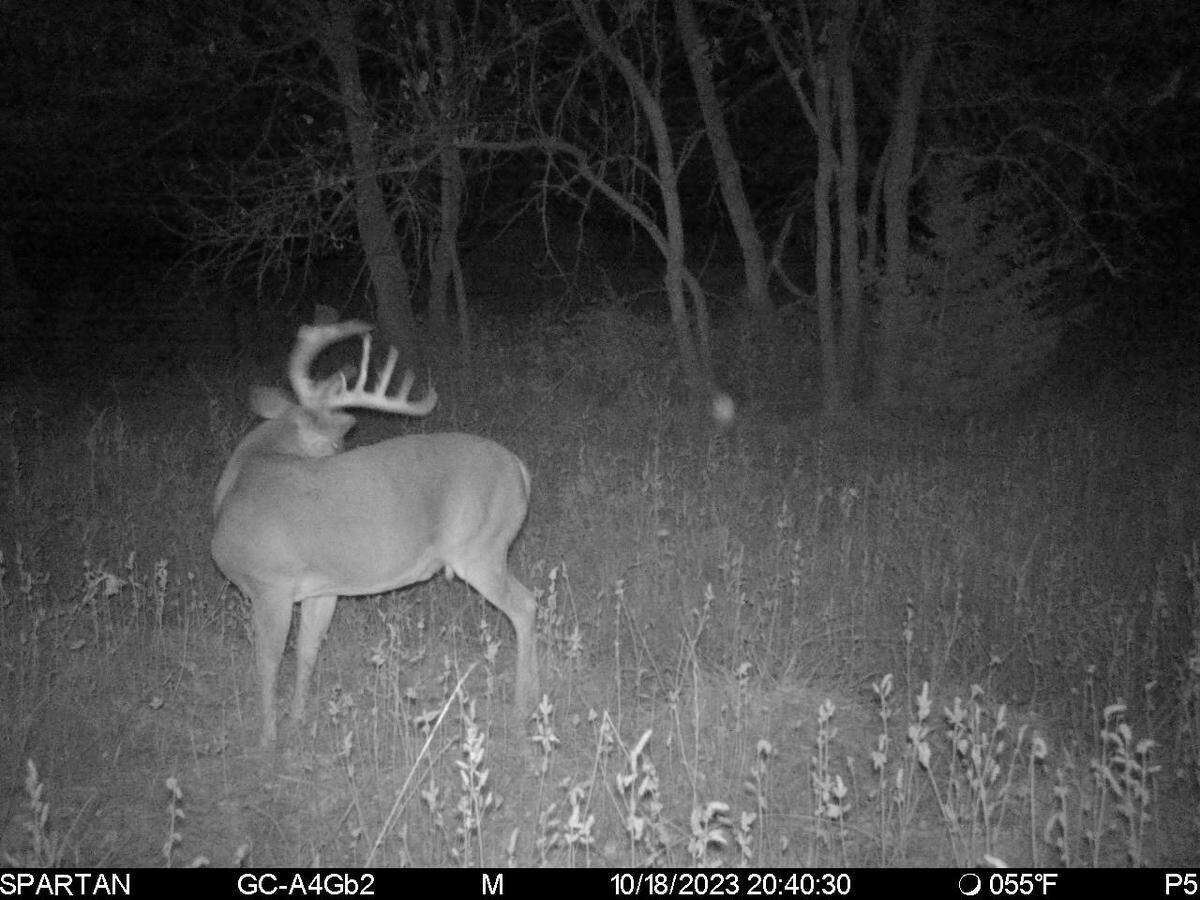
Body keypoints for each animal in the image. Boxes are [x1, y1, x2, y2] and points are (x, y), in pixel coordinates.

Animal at [211, 319, 537, 746]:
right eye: (335, 442)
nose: (338, 451)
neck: (238, 481)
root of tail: (520, 468)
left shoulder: (270, 585)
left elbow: (267, 663)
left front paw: (267, 739)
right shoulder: (321, 588)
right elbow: (306, 651)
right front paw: (297, 721)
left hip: (480, 549)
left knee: (526, 605)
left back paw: (520, 710)